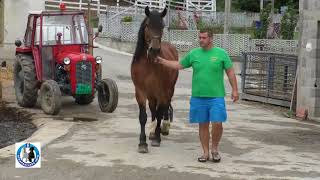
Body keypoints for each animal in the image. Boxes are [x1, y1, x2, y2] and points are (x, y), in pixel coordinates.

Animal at [131, 6, 179, 153]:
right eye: (148, 25)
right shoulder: (140, 91)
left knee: (164, 108)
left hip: (169, 90)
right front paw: (142, 143)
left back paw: (164, 127)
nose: (154, 50)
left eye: (162, 26)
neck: (149, 64)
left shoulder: (162, 91)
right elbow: (143, 116)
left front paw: (157, 138)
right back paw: (152, 132)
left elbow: (159, 113)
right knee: (153, 108)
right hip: (152, 94)